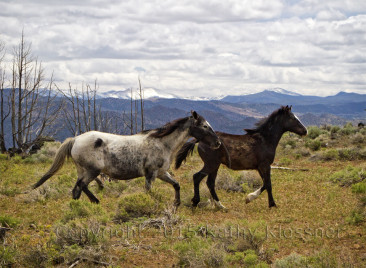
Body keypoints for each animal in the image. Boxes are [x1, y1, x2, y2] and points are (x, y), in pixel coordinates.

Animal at [176, 105, 308, 209]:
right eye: (292, 118)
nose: (305, 131)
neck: (265, 140)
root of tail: (199, 140)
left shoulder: (260, 167)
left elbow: (266, 184)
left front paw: (256, 200)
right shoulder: (265, 165)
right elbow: (268, 184)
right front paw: (265, 202)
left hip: (215, 165)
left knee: (210, 183)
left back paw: (220, 206)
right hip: (211, 164)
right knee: (197, 177)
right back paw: (196, 202)